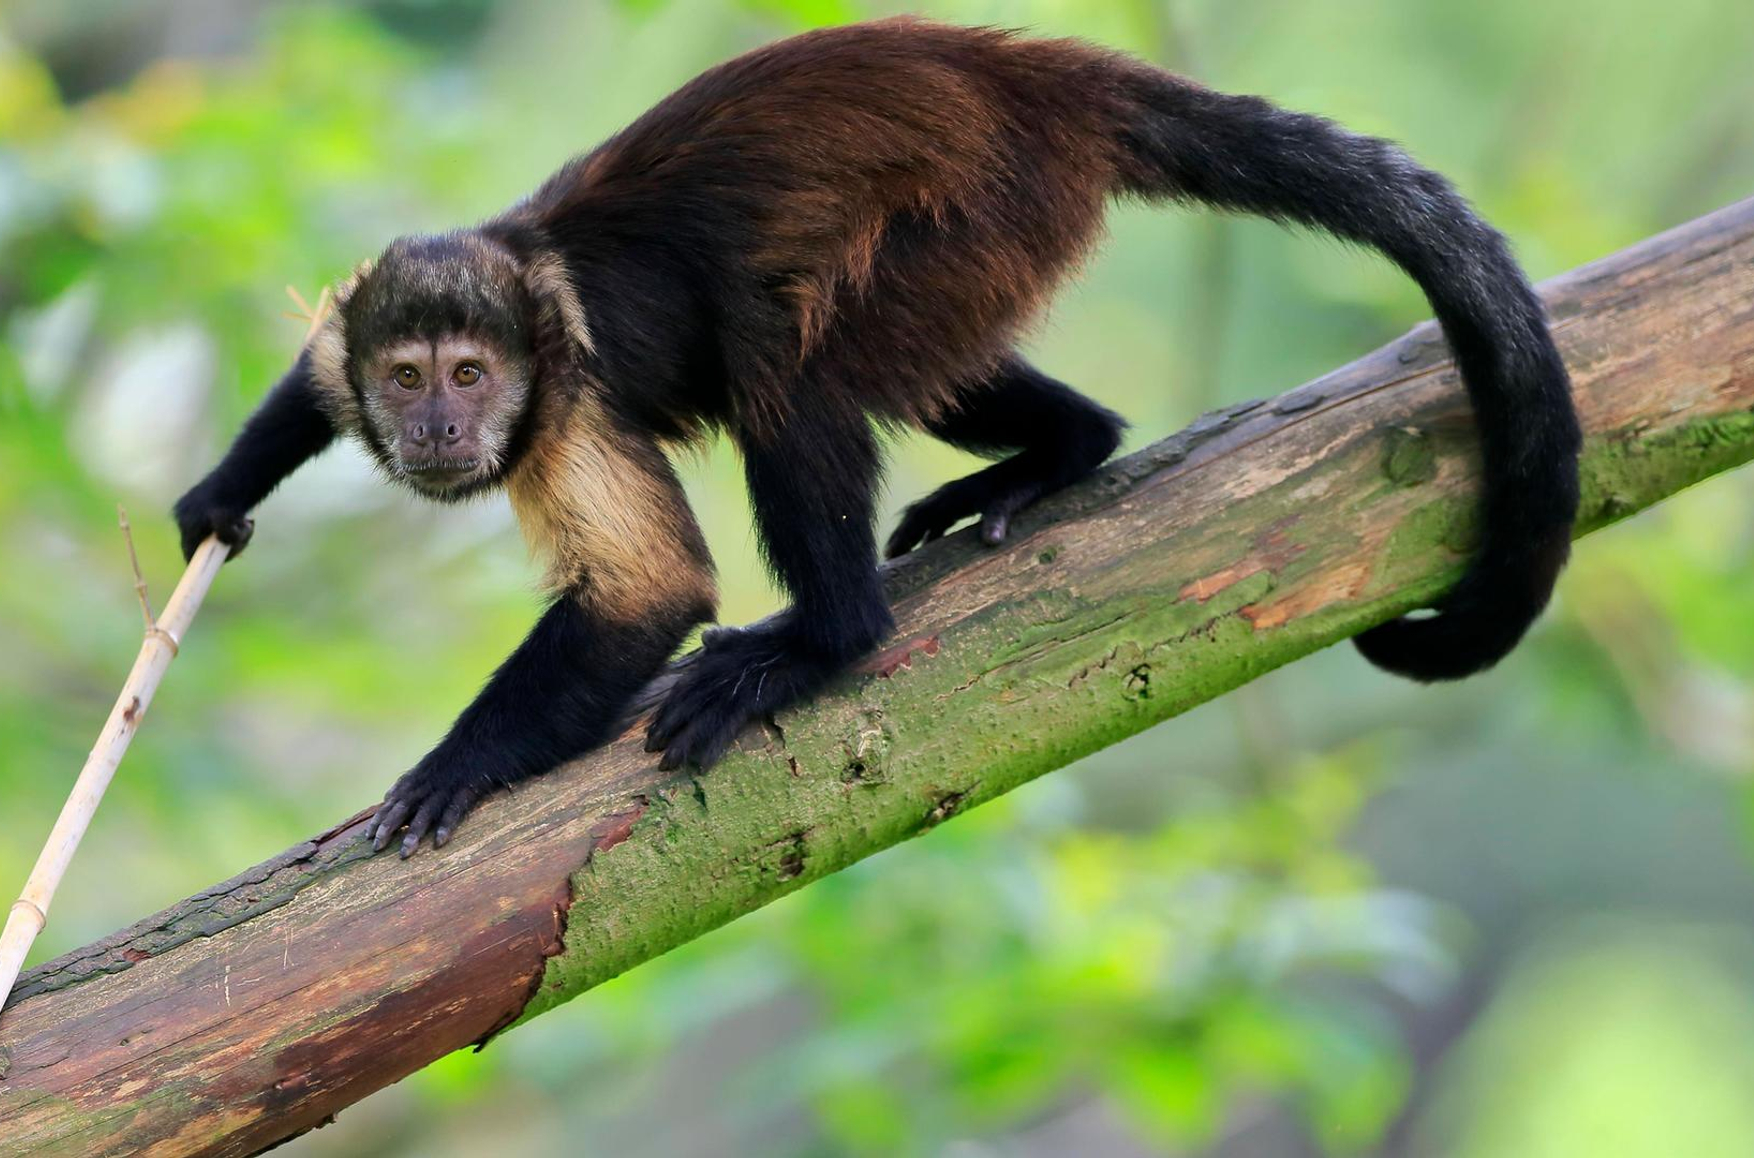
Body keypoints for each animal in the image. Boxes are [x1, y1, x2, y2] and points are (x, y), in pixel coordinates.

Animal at [173, 19, 1580, 857]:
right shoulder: (370, 336)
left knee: (787, 363)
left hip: (984, 205)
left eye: (471, 375)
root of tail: (1038, 75)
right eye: (406, 377)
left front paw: (455, 769)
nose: (441, 424)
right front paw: (219, 499)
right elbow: (309, 381)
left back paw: (824, 641)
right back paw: (1066, 448)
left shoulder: (563, 401)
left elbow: (652, 593)